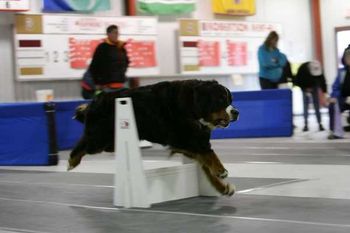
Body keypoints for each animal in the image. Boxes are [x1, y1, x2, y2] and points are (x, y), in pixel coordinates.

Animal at [69, 80, 238, 197]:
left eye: (230, 100)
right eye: (221, 100)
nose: (236, 112)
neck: (192, 106)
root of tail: (95, 101)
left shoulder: (191, 143)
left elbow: (206, 166)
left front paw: (222, 187)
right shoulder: (184, 139)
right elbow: (210, 154)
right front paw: (221, 170)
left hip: (109, 142)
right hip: (99, 139)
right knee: (83, 145)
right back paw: (71, 162)